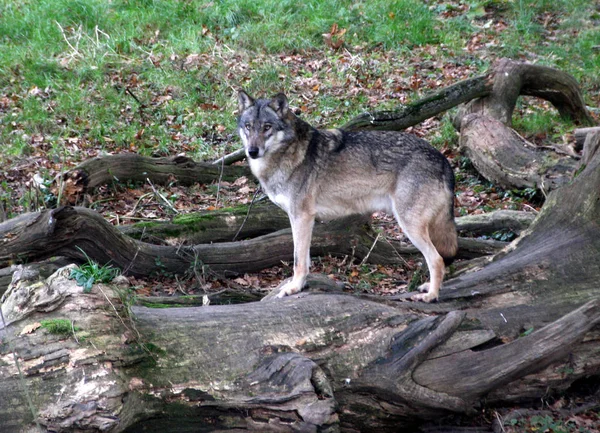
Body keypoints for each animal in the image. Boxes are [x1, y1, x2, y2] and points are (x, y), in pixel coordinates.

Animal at [237, 91, 458, 300]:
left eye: (267, 127)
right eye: (248, 126)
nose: (252, 151)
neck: (288, 152)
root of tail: (442, 159)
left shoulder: (302, 217)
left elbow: (298, 259)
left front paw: (294, 288)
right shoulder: (302, 219)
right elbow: (305, 258)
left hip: (409, 225)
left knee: (437, 259)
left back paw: (431, 296)